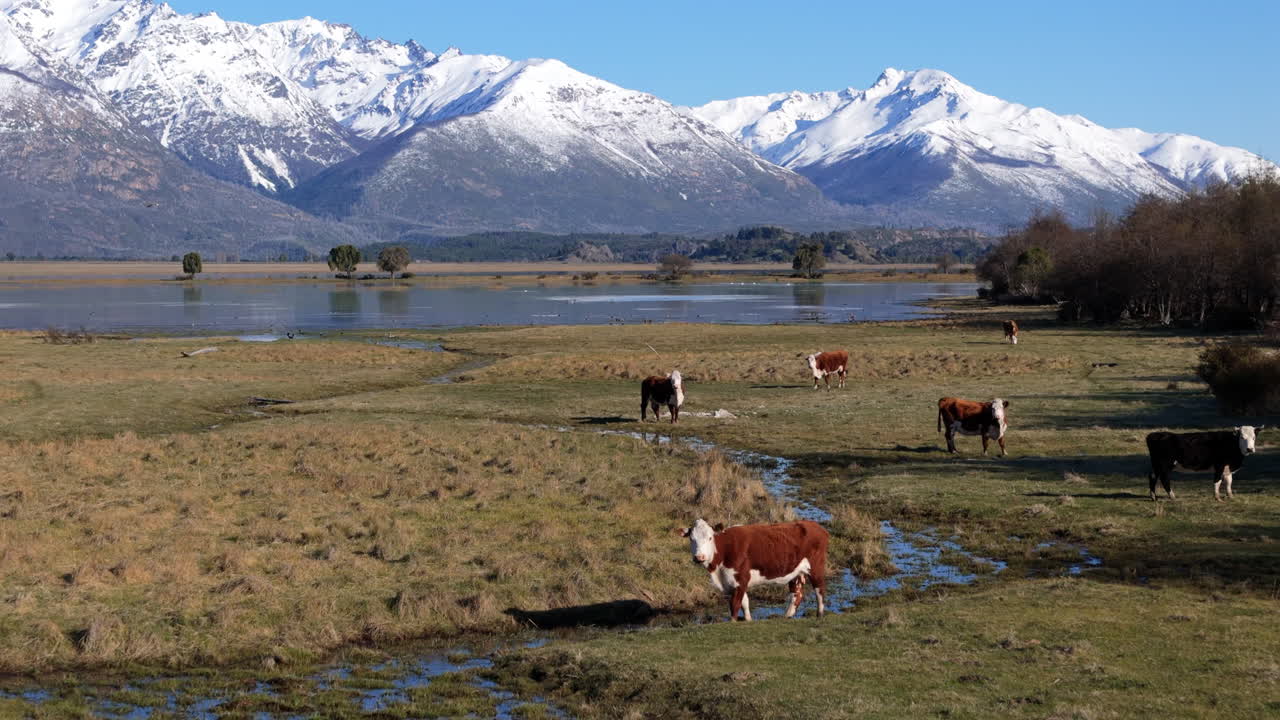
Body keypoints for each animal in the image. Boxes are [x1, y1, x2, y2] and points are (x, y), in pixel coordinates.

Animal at [677, 518, 828, 621]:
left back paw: (820, 614)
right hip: (795, 572)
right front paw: (748, 620)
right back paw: (786, 616)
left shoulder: (740, 579)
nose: (699, 557)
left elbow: (735, 605)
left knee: (819, 589)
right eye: (691, 539)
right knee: (797, 593)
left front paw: (733, 622)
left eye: (710, 538)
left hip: (816, 567)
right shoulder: (734, 582)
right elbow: (745, 603)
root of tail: (815, 526)